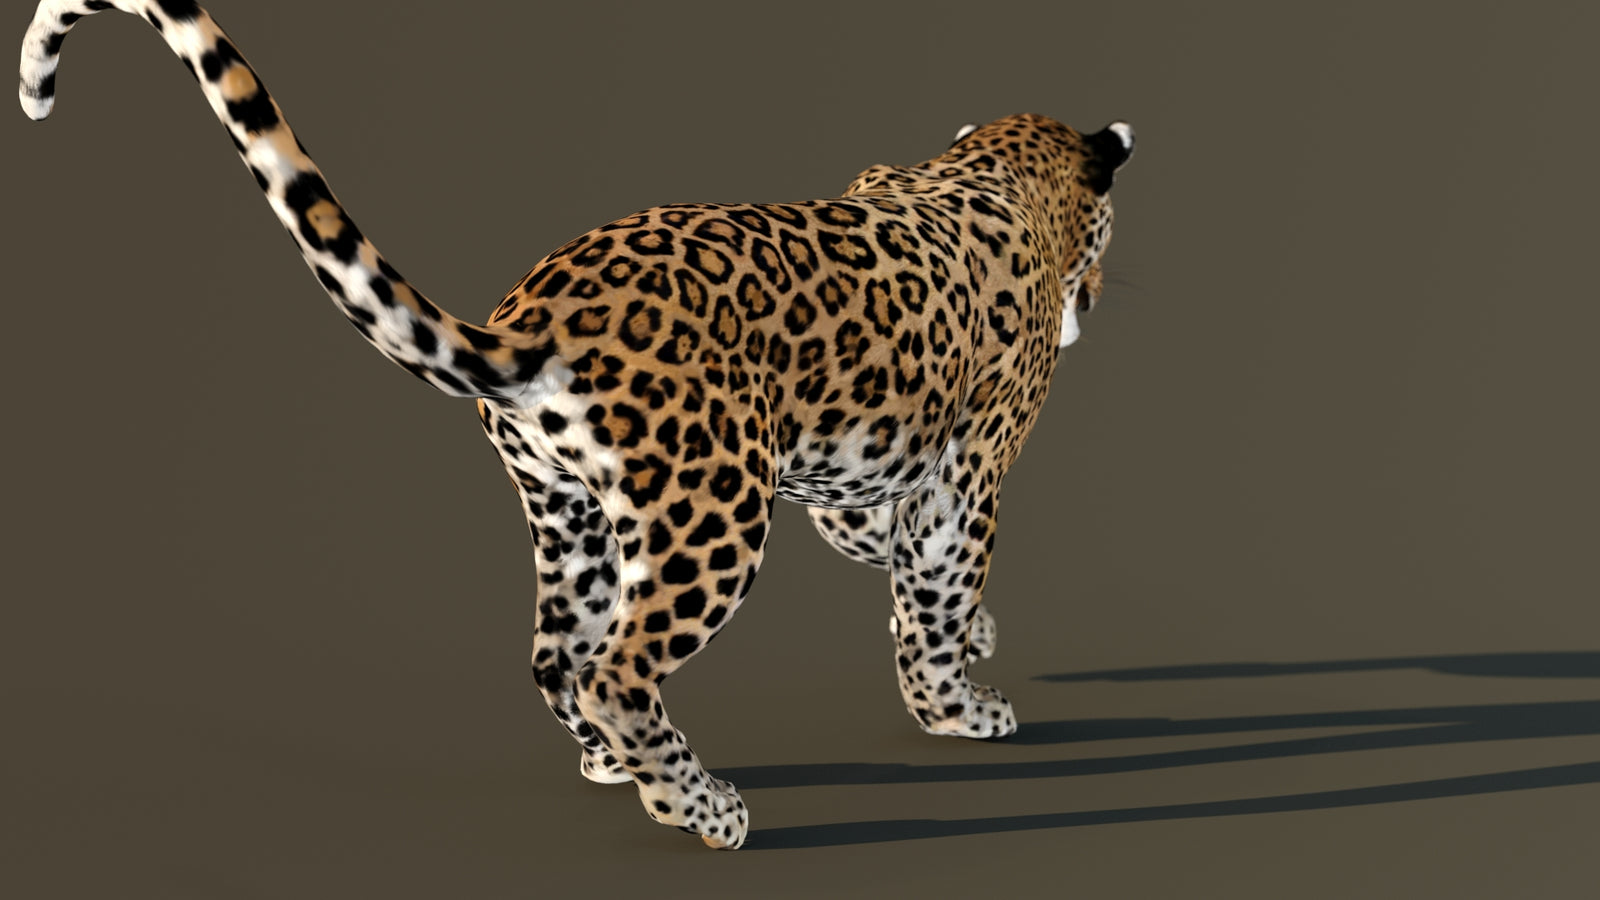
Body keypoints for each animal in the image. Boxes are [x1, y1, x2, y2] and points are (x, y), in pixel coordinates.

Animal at [18, 0, 1134, 849]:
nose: (1096, 301)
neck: (992, 173)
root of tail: (533, 319)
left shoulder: (847, 461)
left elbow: (881, 550)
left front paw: (967, 634)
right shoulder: (965, 471)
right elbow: (935, 584)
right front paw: (961, 707)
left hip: (575, 514)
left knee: (558, 656)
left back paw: (613, 769)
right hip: (713, 511)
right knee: (615, 669)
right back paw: (703, 809)